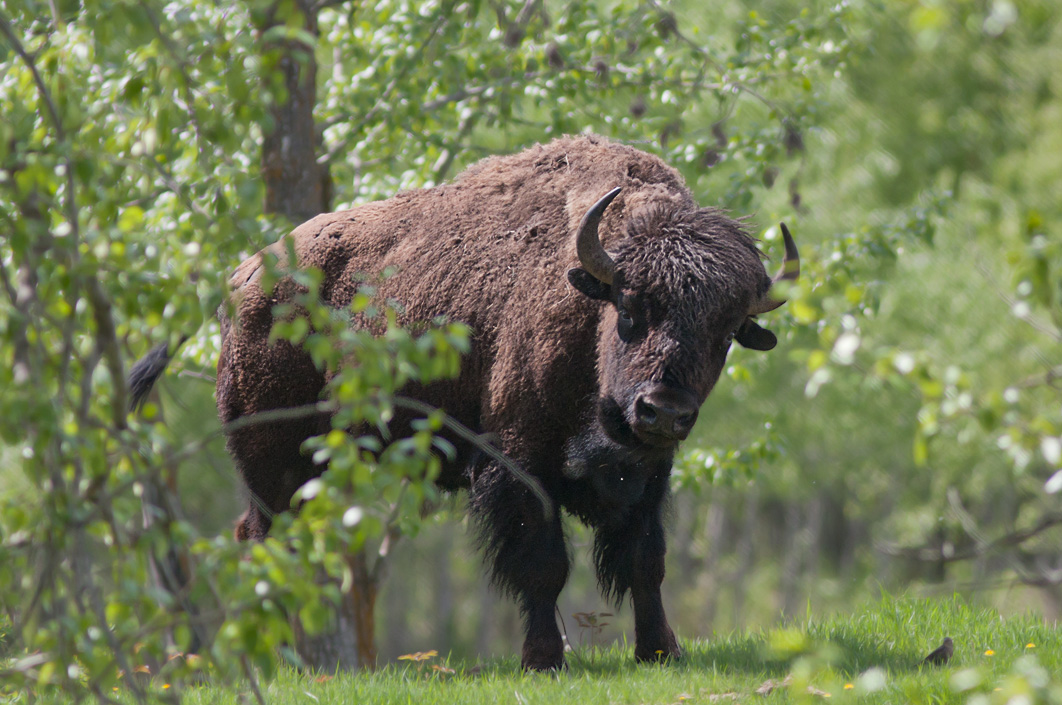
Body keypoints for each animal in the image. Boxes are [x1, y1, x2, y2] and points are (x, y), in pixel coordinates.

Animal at [129, 134, 798, 670]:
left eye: (726, 331)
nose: (662, 410)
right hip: (272, 462)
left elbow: (645, 560)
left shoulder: (649, 473)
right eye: (631, 308)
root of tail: (240, 278)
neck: (589, 302)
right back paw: (283, 666)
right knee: (269, 544)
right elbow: (543, 564)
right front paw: (542, 661)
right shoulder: (519, 463)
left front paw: (661, 651)